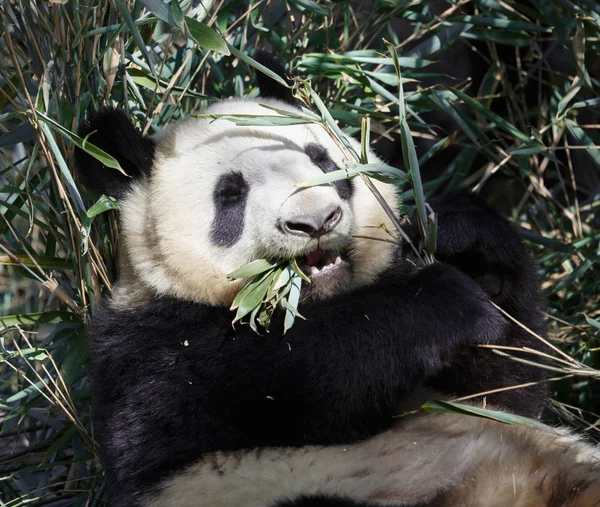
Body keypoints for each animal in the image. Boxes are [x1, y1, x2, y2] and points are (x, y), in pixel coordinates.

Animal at [74, 73, 600, 506]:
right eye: (230, 195)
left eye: (322, 160)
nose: (315, 220)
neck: (317, 300)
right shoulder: (143, 353)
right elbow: (283, 374)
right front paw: (446, 302)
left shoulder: (461, 398)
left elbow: (507, 389)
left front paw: (460, 236)